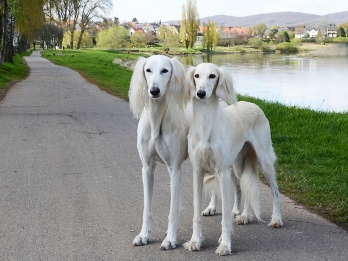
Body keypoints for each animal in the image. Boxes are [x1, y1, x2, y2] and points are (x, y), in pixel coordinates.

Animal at [128, 54, 189, 248]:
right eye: (148, 70)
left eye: (165, 70)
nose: (154, 91)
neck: (156, 119)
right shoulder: (147, 168)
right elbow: (147, 207)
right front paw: (143, 235)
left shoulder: (175, 169)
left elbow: (173, 209)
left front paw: (170, 239)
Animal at [184, 62, 282, 254]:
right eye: (197, 75)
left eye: (212, 76)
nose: (201, 93)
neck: (206, 123)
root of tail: (254, 104)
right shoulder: (198, 171)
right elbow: (196, 213)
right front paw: (195, 241)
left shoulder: (222, 171)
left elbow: (225, 216)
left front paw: (225, 245)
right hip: (237, 164)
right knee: (242, 186)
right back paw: (245, 215)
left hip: (263, 159)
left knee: (274, 189)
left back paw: (276, 219)